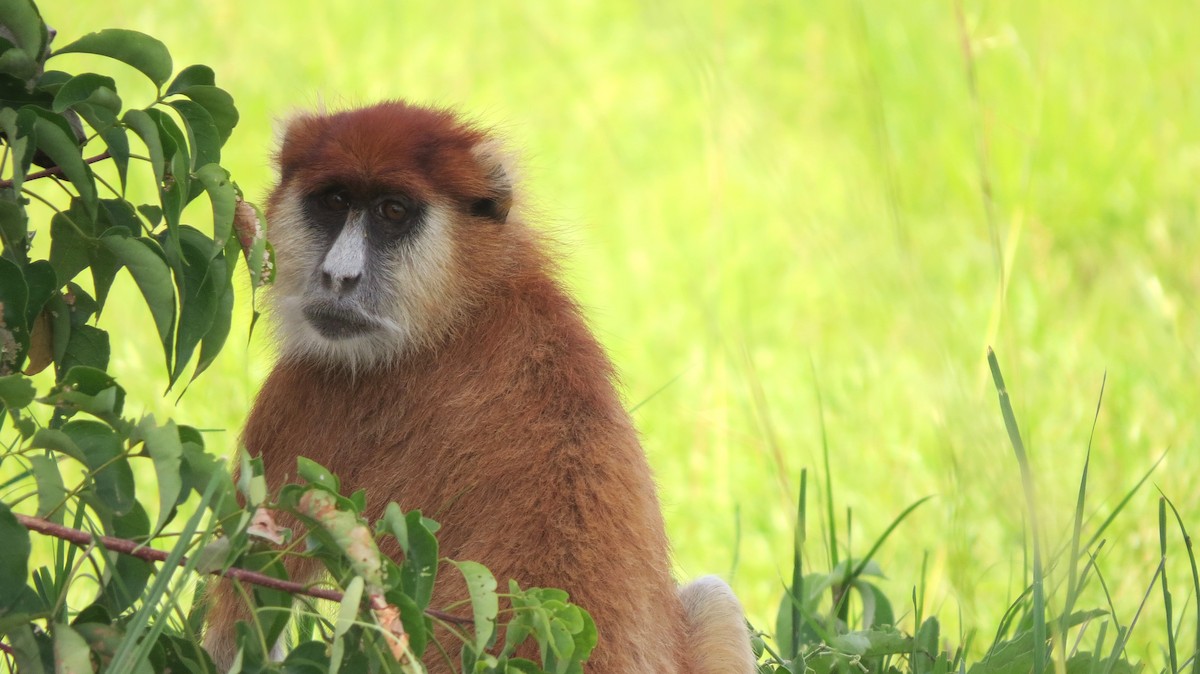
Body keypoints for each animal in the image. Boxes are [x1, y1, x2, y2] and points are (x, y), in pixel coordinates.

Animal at [204, 101, 757, 674]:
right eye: (334, 202)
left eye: (392, 212)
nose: (339, 277)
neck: (459, 306)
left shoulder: (308, 392)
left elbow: (236, 630)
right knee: (715, 598)